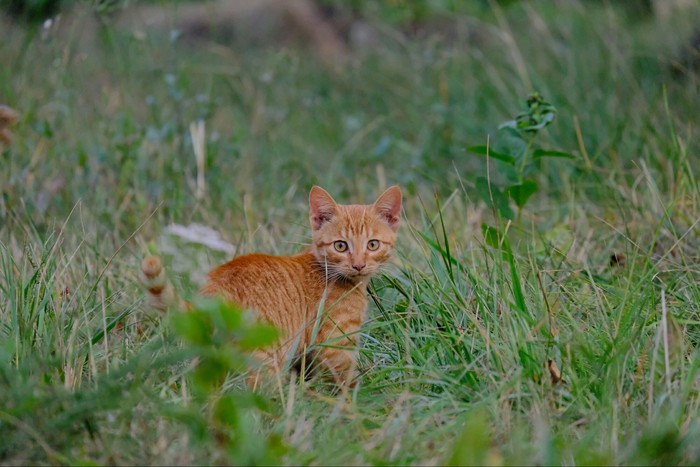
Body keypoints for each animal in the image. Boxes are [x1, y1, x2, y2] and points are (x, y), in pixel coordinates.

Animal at [140, 186, 402, 388]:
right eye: (340, 246)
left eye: (372, 244)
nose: (358, 265)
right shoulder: (337, 344)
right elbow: (345, 382)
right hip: (264, 358)